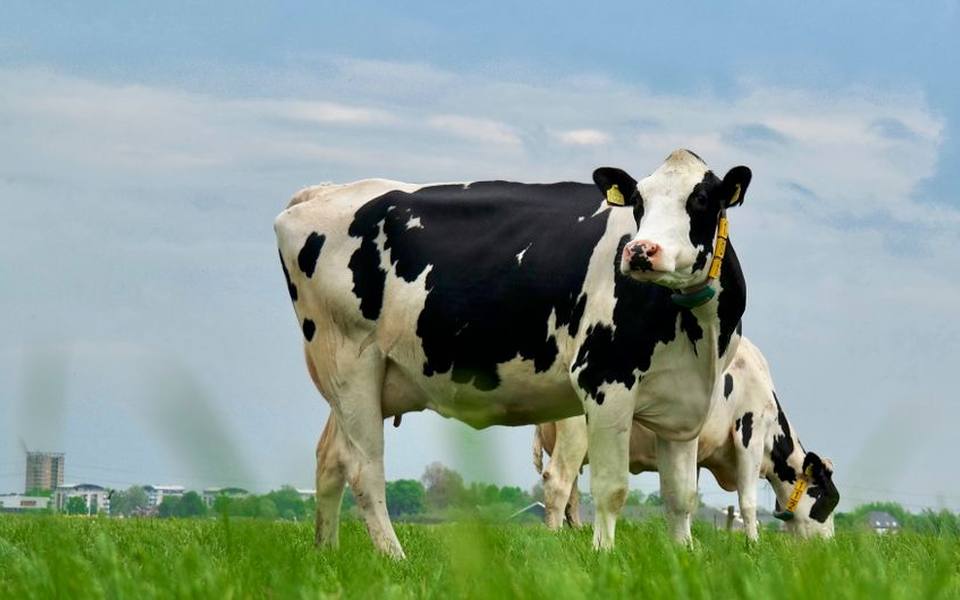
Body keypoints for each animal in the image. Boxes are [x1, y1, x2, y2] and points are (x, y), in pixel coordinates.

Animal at [274, 149, 752, 557]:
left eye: (701, 199)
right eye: (638, 201)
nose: (639, 251)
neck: (698, 332)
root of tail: (322, 192)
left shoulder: (683, 402)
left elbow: (682, 496)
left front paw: (683, 556)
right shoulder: (604, 378)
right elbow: (611, 487)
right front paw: (603, 556)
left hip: (354, 379)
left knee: (331, 459)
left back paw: (327, 551)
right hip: (350, 361)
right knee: (365, 468)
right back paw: (394, 557)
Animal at [533, 337, 840, 539]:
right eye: (827, 499)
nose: (829, 545)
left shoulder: (699, 453)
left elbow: (685, 496)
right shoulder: (749, 436)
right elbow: (748, 502)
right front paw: (753, 544)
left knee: (571, 492)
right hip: (576, 433)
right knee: (558, 481)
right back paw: (554, 538)